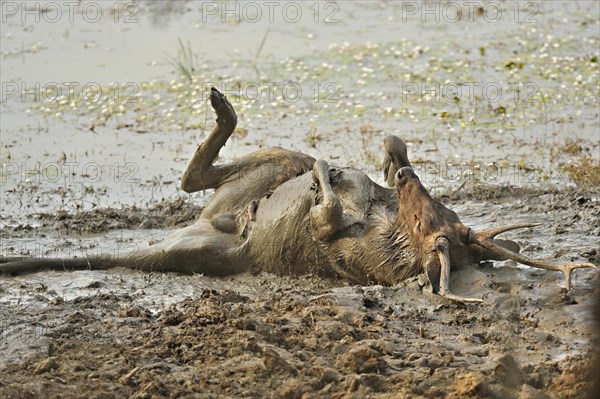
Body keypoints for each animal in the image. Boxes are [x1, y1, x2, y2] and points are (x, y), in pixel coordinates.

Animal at [1, 86, 596, 300]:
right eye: (435, 208)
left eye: (425, 224)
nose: (405, 179)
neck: (387, 228)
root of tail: (213, 224)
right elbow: (383, 149)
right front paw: (378, 160)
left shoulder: (338, 244)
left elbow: (326, 209)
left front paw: (330, 174)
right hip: (264, 170)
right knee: (218, 174)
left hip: (207, 247)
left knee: (185, 200)